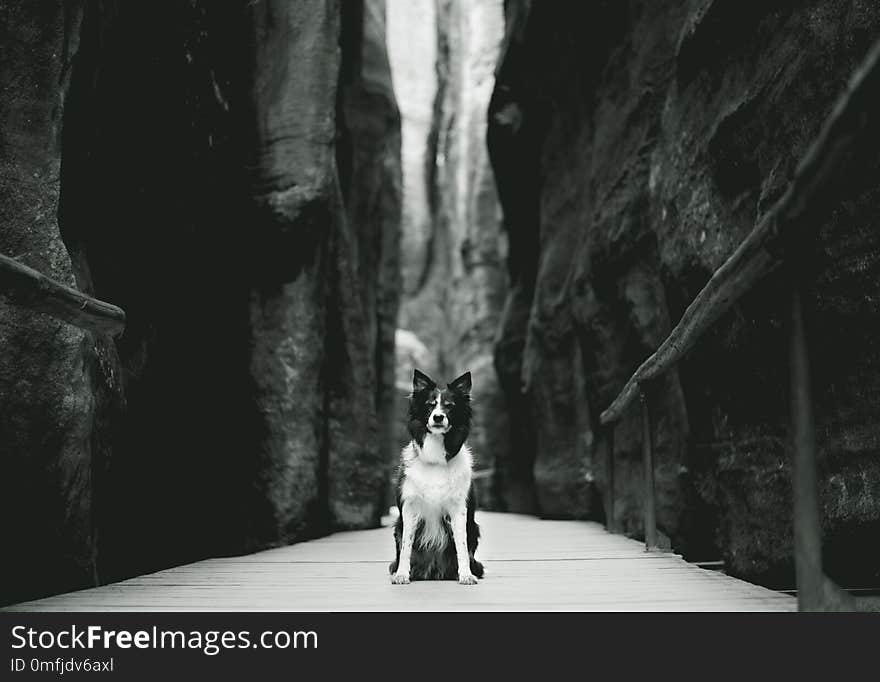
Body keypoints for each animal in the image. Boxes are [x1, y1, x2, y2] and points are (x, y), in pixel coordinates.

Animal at [390, 370, 484, 580]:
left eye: (449, 406)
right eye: (430, 405)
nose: (438, 417)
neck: (436, 459)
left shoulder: (459, 508)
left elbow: (462, 546)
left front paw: (466, 576)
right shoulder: (409, 507)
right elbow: (406, 545)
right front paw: (402, 575)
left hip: (473, 527)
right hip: (398, 525)